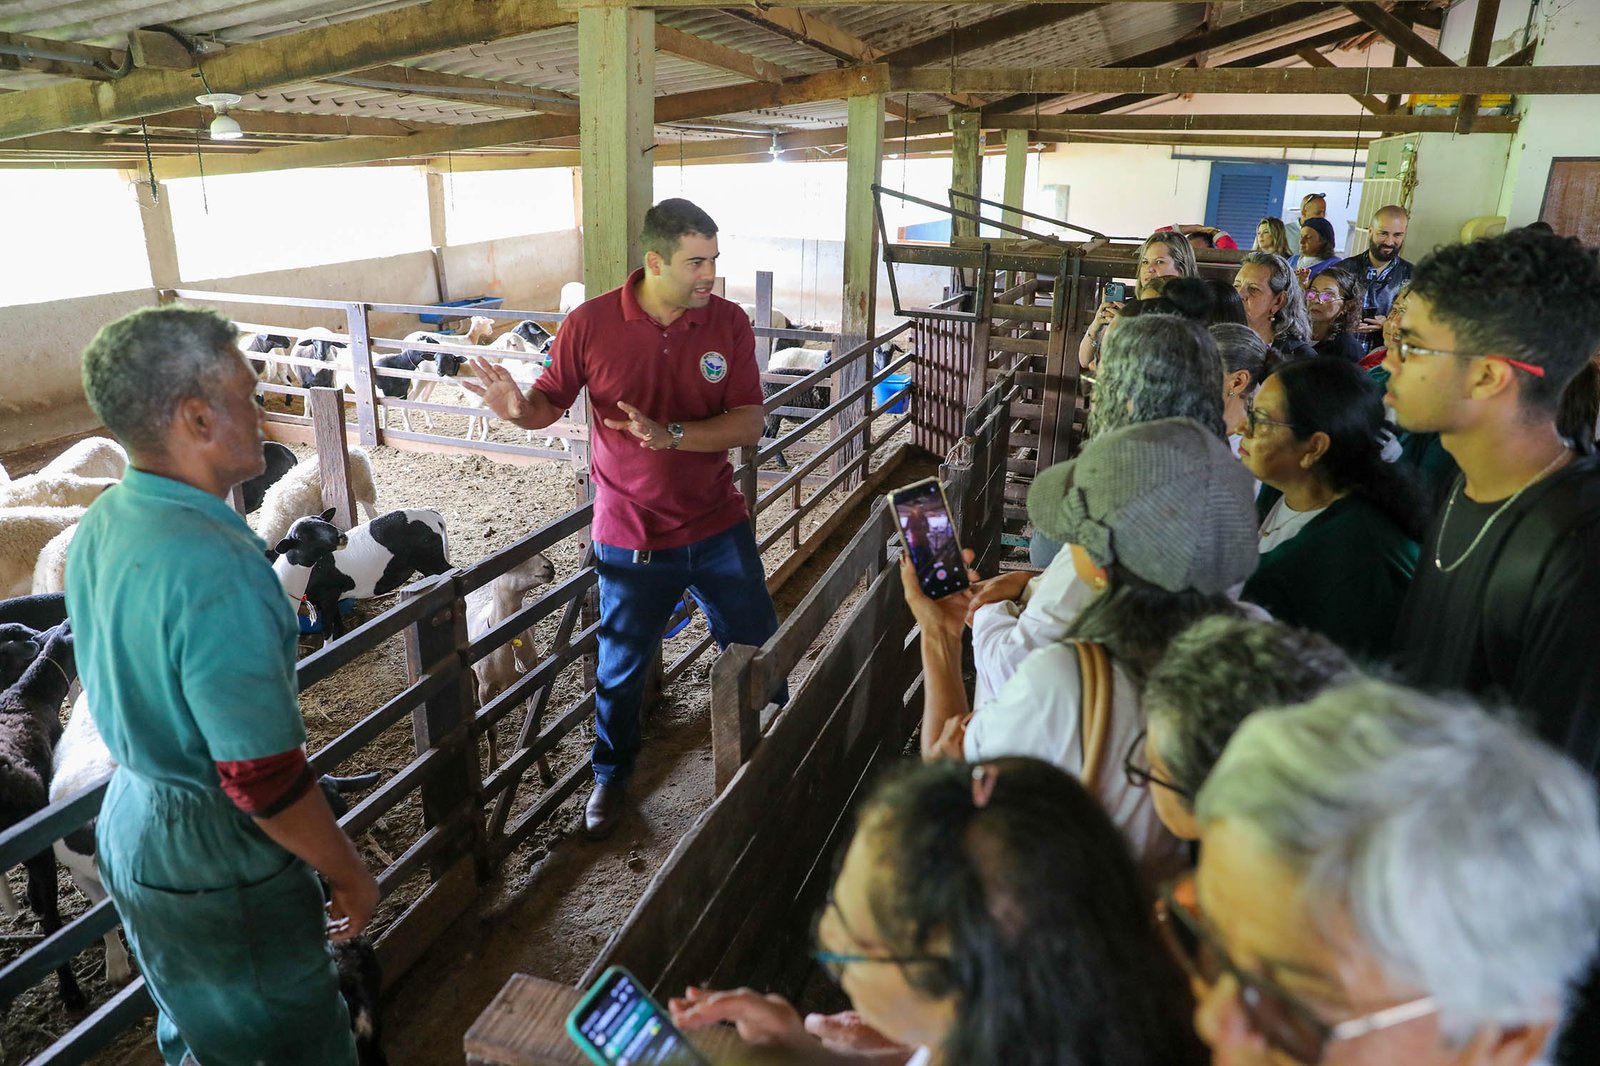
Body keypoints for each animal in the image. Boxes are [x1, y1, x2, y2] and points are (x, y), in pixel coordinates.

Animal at [272, 505, 451, 640]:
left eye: (324, 521)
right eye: (300, 537)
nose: (340, 536)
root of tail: (431, 515)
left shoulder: (328, 595)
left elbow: (328, 629)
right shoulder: (330, 599)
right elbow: (337, 623)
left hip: (431, 557)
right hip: (426, 563)